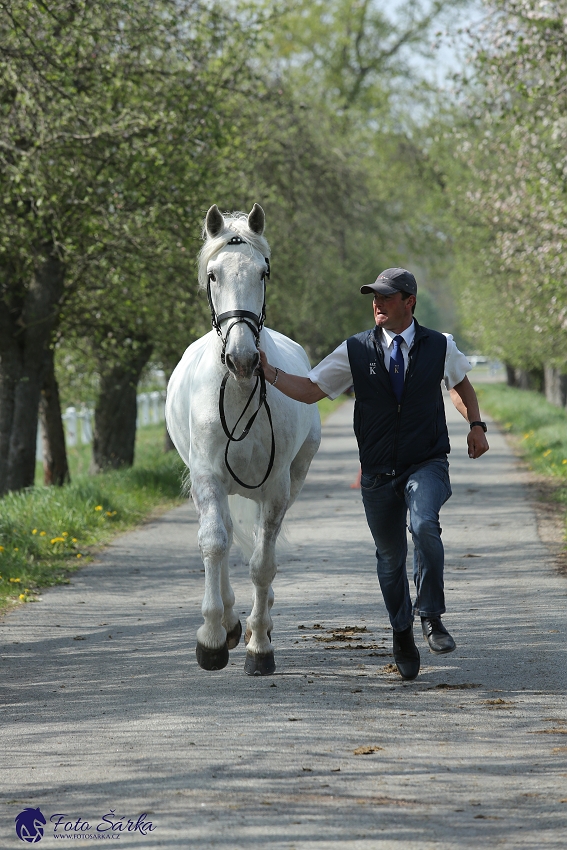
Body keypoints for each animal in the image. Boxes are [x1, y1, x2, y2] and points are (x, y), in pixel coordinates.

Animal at [166, 202, 322, 672]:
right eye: (213, 274)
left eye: (263, 272)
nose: (242, 359)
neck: (238, 392)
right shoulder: (206, 478)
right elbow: (214, 544)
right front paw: (213, 638)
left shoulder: (276, 488)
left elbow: (262, 563)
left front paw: (260, 645)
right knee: (222, 535)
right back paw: (232, 620)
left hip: (293, 480)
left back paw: (255, 622)